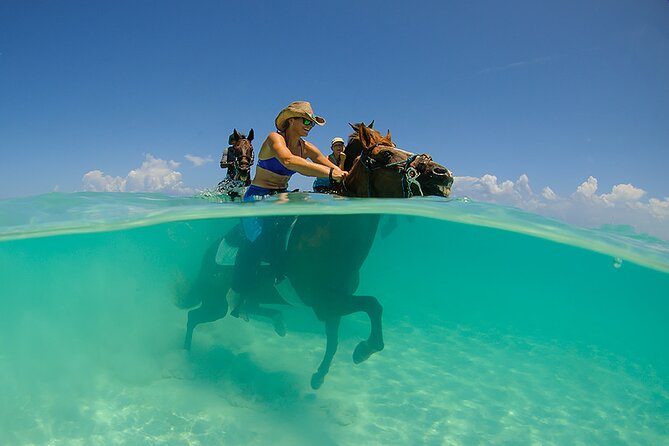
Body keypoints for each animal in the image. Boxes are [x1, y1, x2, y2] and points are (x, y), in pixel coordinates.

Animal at [182, 123, 453, 389]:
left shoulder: (332, 308)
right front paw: (365, 349)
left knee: (241, 307)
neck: (329, 237)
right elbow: (373, 304)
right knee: (194, 316)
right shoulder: (323, 302)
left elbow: (335, 340)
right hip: (216, 301)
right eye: (385, 154)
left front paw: (320, 376)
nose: (443, 174)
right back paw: (186, 353)